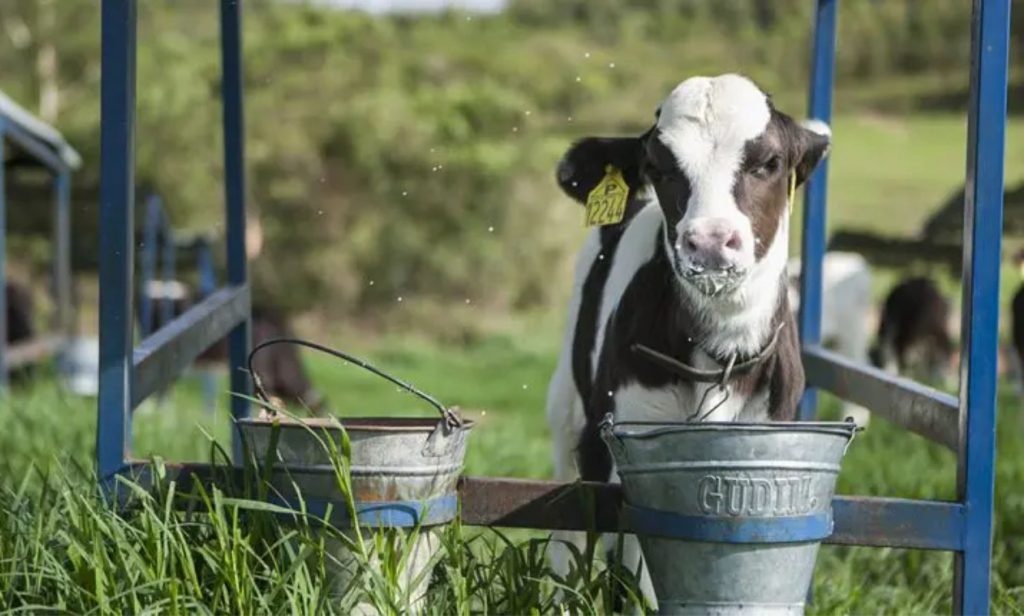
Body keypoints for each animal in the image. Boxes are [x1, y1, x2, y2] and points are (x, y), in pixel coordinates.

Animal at [548, 73, 827, 605]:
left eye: (768, 162)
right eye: (658, 167)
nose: (710, 242)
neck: (721, 351)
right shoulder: (615, 438)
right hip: (567, 409)